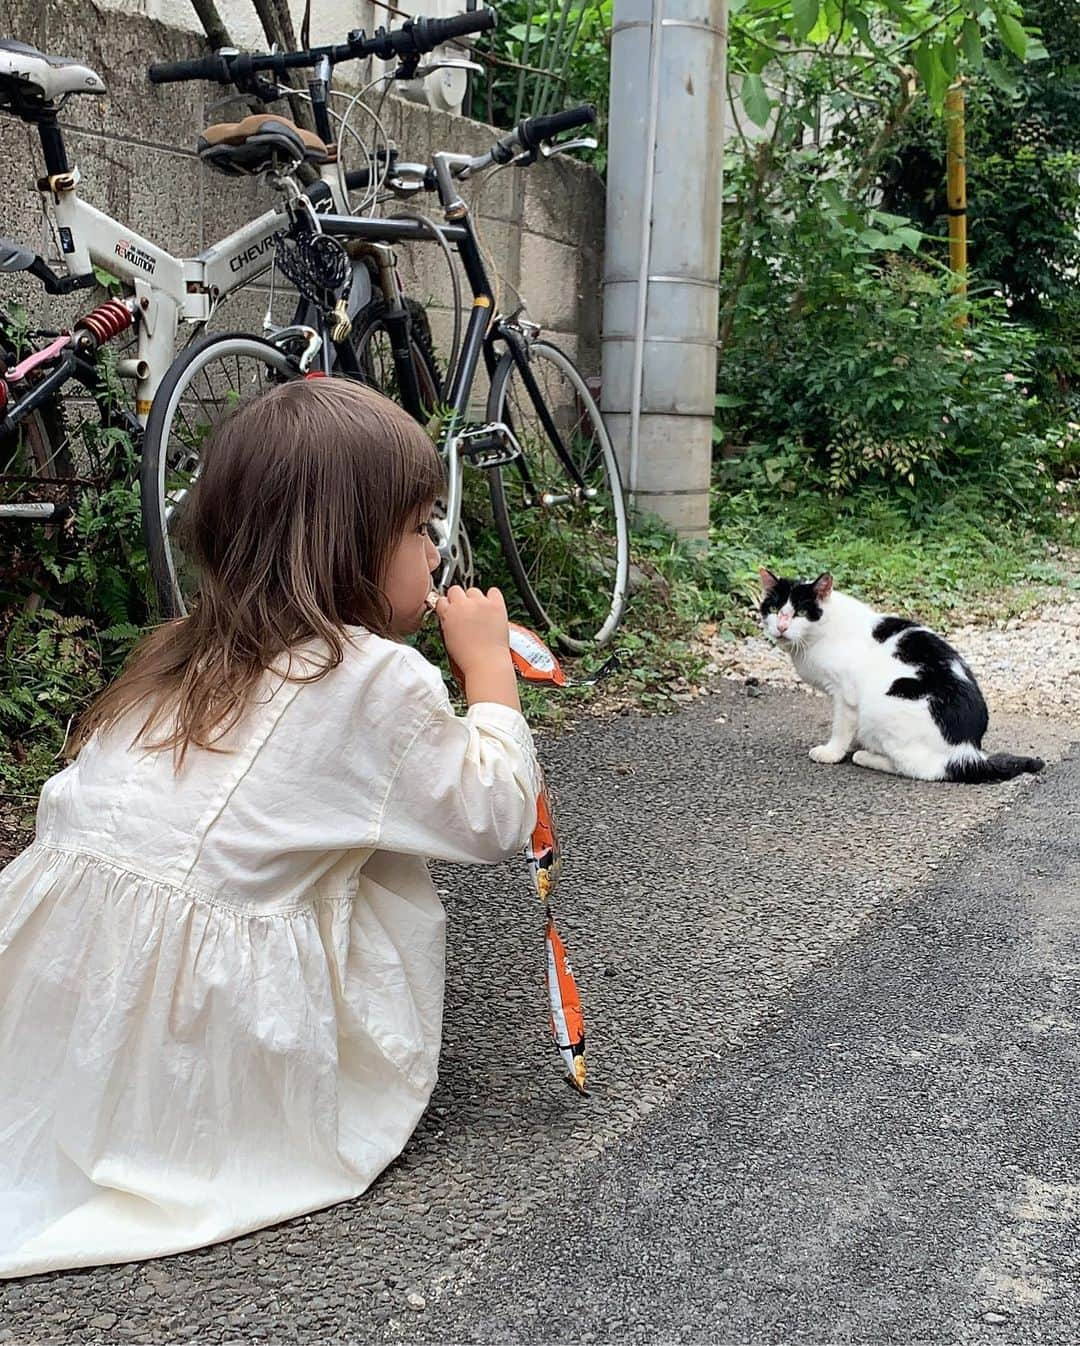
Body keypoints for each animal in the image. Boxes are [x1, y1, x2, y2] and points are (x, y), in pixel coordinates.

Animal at [754, 565, 1039, 780]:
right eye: (774, 610)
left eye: (801, 612)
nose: (781, 627)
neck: (818, 634)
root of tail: (968, 753)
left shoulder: (845, 694)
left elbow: (841, 727)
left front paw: (833, 752)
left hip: (880, 707)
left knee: (920, 769)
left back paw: (867, 756)